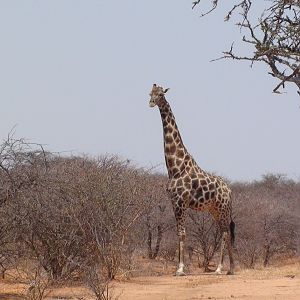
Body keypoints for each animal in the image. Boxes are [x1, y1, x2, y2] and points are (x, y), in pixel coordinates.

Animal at [149, 83, 236, 276]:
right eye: (150, 93)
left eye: (160, 94)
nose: (151, 102)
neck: (175, 167)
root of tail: (230, 191)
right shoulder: (174, 201)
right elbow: (179, 233)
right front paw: (179, 268)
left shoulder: (181, 202)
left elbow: (182, 233)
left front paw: (181, 269)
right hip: (215, 210)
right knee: (226, 231)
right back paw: (231, 268)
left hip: (223, 209)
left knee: (225, 233)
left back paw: (220, 268)